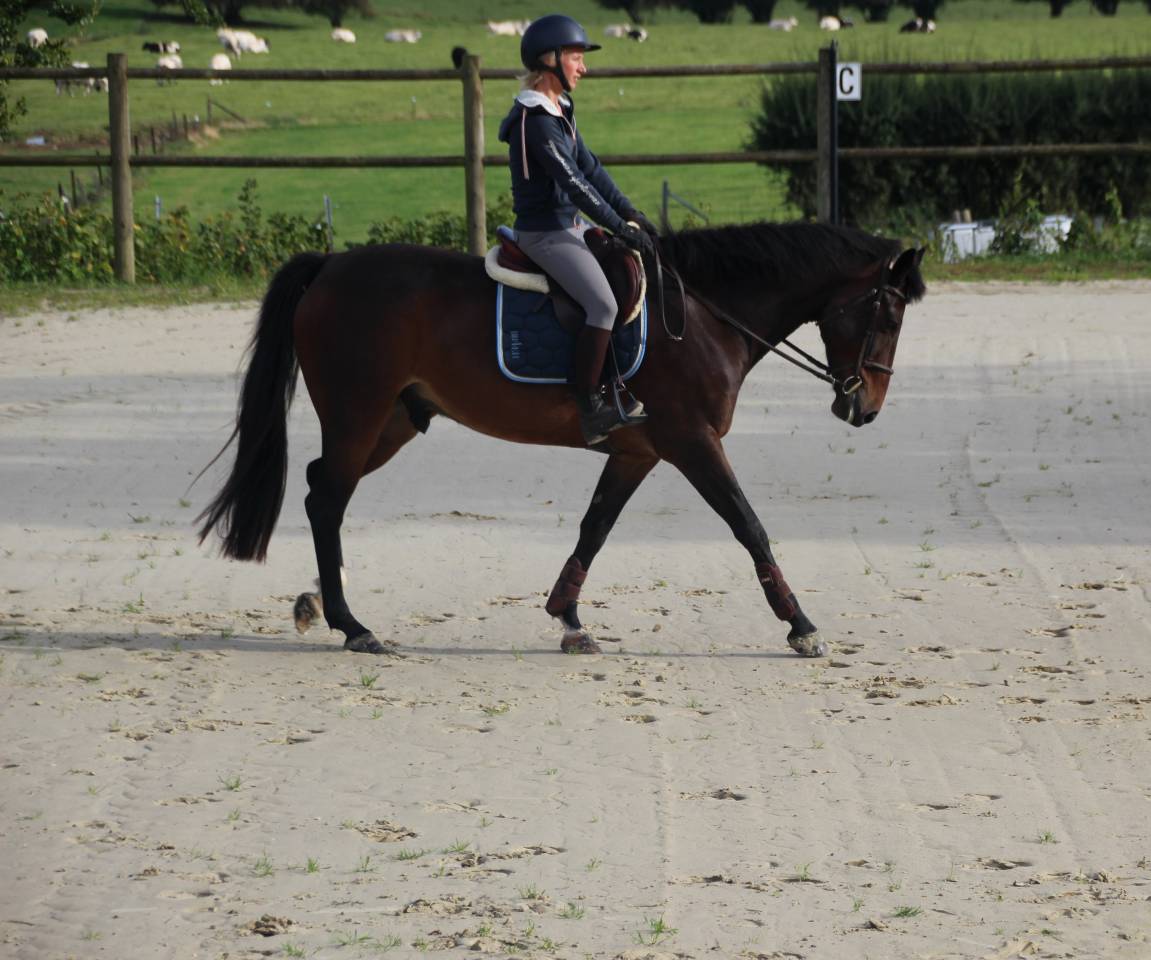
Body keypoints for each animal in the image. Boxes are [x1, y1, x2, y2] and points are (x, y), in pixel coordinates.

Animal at [197, 221, 926, 657]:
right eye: (888, 316)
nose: (865, 408)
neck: (702, 315)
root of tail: (329, 266)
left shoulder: (638, 451)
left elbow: (593, 529)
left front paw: (569, 618)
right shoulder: (691, 442)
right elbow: (749, 526)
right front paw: (800, 626)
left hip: (394, 421)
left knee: (321, 489)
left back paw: (322, 601)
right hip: (359, 412)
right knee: (327, 497)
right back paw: (353, 625)